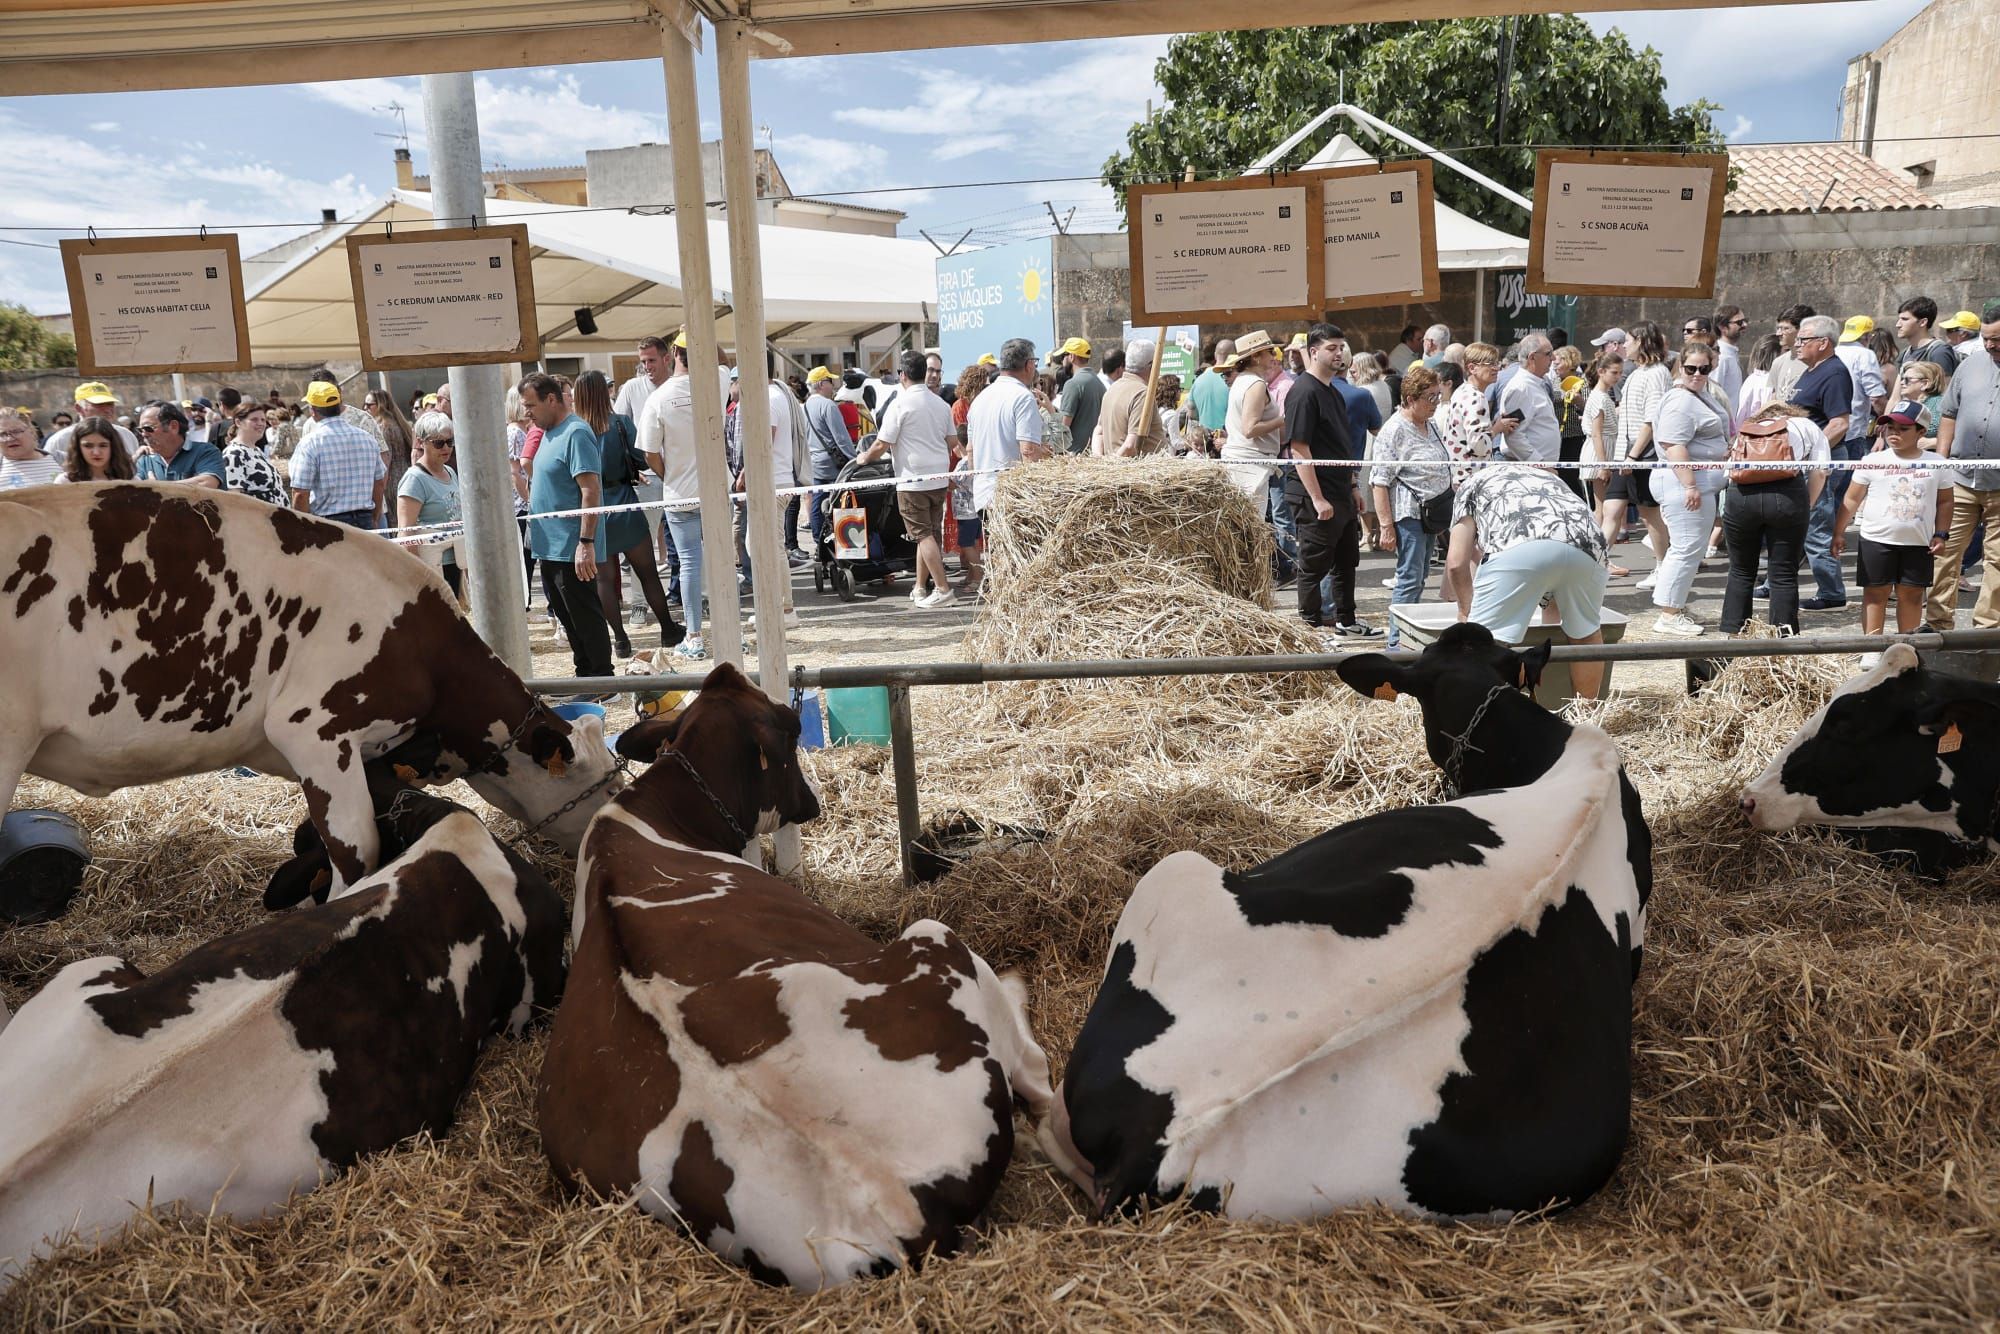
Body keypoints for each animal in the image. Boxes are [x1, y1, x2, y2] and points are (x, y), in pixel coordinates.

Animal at [532, 668, 1064, 1296]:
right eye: (787, 729)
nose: (811, 802)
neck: (658, 811)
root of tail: (887, 1202)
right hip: (933, 937)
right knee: (1036, 1077)